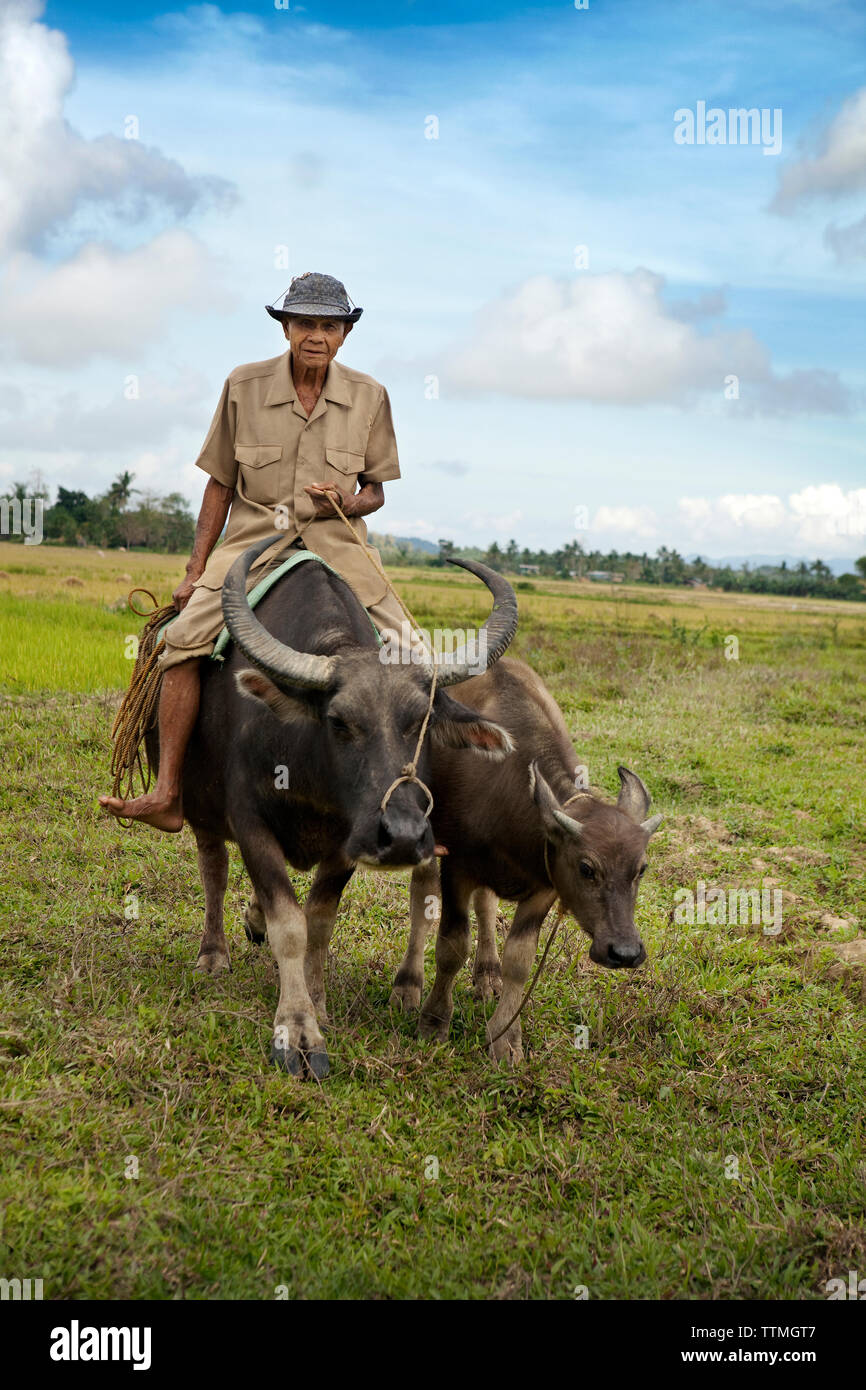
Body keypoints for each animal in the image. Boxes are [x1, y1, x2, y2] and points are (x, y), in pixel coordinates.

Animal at [145, 536, 517, 1078]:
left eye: (422, 720)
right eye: (339, 722)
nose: (403, 837)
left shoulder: (348, 841)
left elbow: (318, 920)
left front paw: (316, 1001)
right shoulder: (250, 824)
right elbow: (289, 923)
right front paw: (298, 1031)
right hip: (200, 808)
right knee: (213, 869)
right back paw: (213, 954)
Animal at [391, 658, 664, 1061]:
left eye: (641, 869)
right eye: (586, 868)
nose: (625, 952)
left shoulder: (543, 888)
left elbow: (519, 961)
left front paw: (505, 1038)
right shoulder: (456, 869)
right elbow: (451, 947)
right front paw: (434, 1021)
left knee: (486, 904)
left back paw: (487, 975)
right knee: (421, 900)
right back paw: (408, 986)